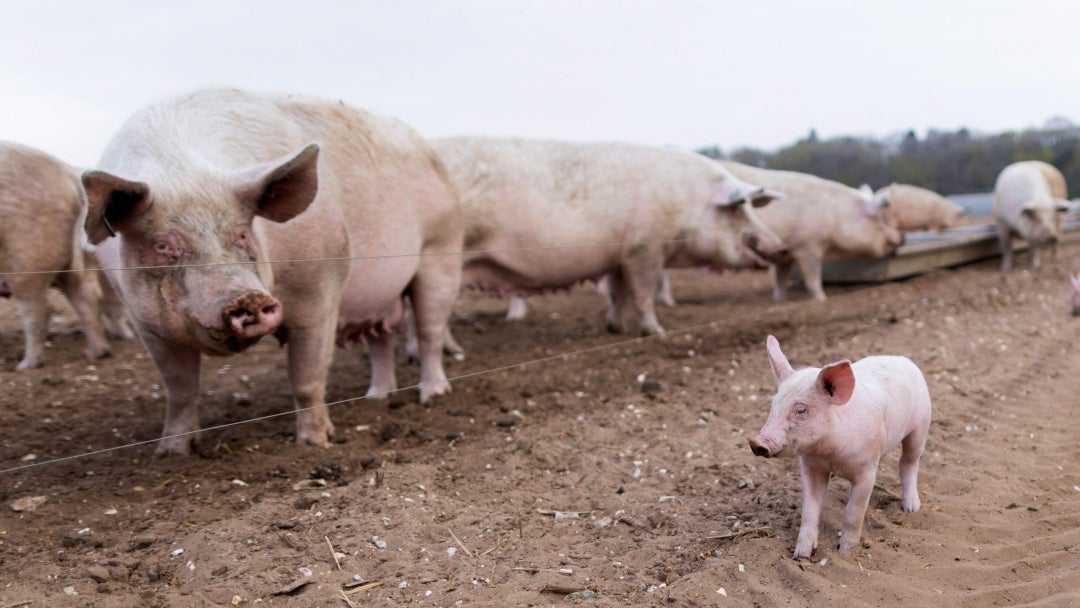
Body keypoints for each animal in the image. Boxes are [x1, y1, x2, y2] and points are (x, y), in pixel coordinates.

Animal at [0, 141, 133, 371]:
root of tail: (70, 177)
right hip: (67, 262)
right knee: (88, 297)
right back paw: (98, 353)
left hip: (27, 254)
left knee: (39, 309)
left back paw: (26, 365)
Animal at [79, 88, 460, 453]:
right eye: (163, 246)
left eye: (242, 232)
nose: (245, 298)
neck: (182, 171)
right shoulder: (146, 324)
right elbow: (180, 389)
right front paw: (170, 452)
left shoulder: (320, 288)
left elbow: (307, 377)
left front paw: (315, 442)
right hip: (384, 295)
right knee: (382, 341)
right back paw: (377, 399)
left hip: (440, 250)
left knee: (429, 331)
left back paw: (434, 395)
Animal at [429, 136, 786, 336]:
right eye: (739, 209)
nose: (780, 245)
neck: (688, 200)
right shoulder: (644, 249)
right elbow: (642, 293)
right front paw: (657, 332)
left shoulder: (619, 255)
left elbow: (618, 294)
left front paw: (616, 329)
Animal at [721, 161, 907, 302]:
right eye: (877, 219)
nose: (901, 237)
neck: (835, 215)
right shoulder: (807, 245)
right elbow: (813, 279)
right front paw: (822, 300)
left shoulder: (784, 253)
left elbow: (780, 280)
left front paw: (780, 301)